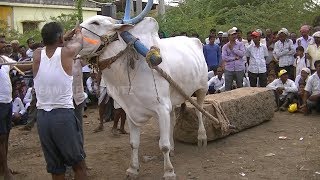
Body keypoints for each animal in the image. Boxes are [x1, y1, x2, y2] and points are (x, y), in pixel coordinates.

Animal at [79, 16, 209, 179]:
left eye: (95, 23)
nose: (67, 38)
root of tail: (194, 40)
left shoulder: (161, 108)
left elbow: (163, 145)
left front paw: (169, 171)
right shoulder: (131, 110)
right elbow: (134, 143)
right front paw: (133, 169)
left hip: (202, 88)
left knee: (199, 111)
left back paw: (202, 138)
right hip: (172, 99)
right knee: (173, 117)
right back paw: (173, 148)